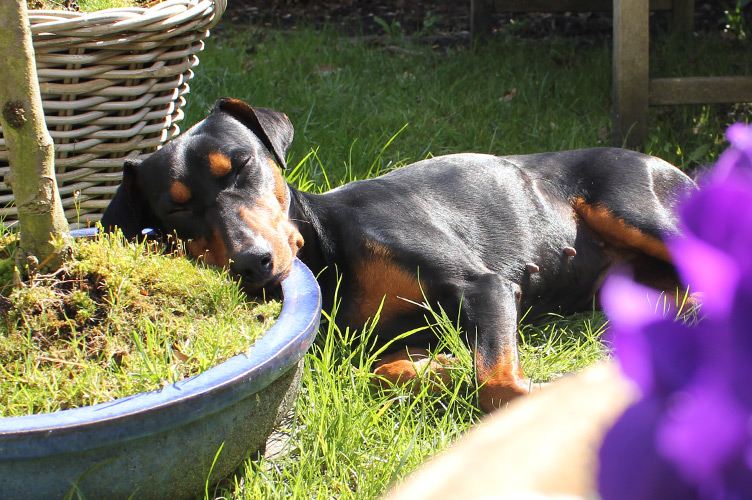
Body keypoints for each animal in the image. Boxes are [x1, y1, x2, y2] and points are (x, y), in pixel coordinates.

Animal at [101, 96, 700, 410]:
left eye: (242, 166)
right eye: (176, 210)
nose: (252, 263)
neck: (330, 254)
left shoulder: (484, 285)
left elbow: (498, 382)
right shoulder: (369, 344)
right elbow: (387, 371)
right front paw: (441, 368)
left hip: (640, 212)